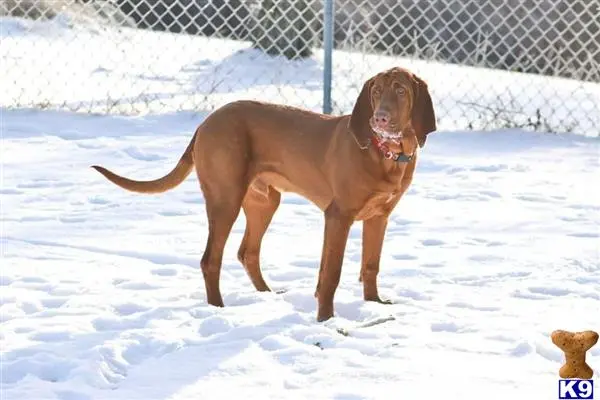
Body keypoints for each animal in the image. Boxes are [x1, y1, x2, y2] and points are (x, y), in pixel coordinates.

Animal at [91, 66, 436, 322]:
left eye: (401, 90)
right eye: (376, 92)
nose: (379, 118)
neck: (387, 154)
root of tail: (205, 122)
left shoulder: (379, 217)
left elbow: (369, 266)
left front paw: (373, 305)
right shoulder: (338, 216)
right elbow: (332, 273)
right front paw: (326, 319)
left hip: (265, 201)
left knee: (247, 251)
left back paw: (266, 295)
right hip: (225, 200)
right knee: (210, 259)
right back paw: (218, 308)